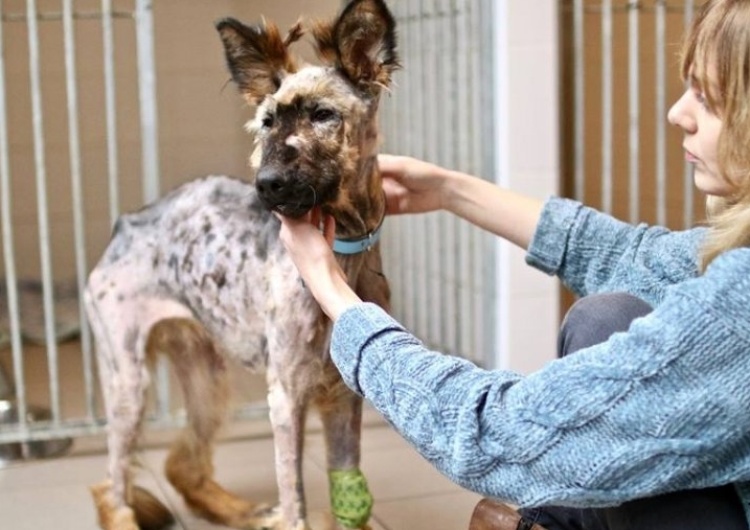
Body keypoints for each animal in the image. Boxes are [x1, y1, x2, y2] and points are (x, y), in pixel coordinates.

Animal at [86, 1, 400, 528]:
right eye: (267, 122)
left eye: (322, 115)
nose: (266, 184)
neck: (345, 253)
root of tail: (126, 224)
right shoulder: (287, 396)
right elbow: (295, 502)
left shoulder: (342, 397)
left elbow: (348, 494)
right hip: (128, 380)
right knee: (112, 486)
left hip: (206, 374)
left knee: (183, 466)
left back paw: (237, 510)